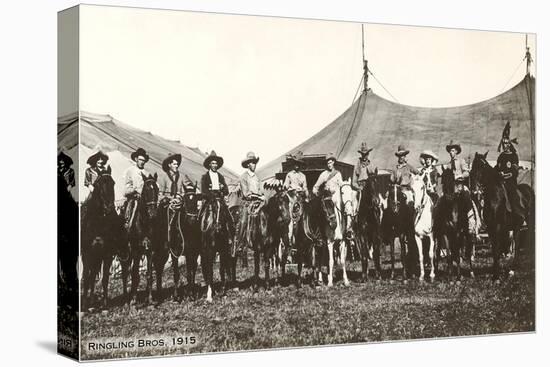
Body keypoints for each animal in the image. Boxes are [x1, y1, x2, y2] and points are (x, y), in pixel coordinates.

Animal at [81, 168, 126, 310]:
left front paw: (105, 305)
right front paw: (84, 306)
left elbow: (105, 278)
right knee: (90, 276)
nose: (109, 207)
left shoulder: (107, 254)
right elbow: (86, 278)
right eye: (98, 185)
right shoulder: (87, 254)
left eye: (113, 183)